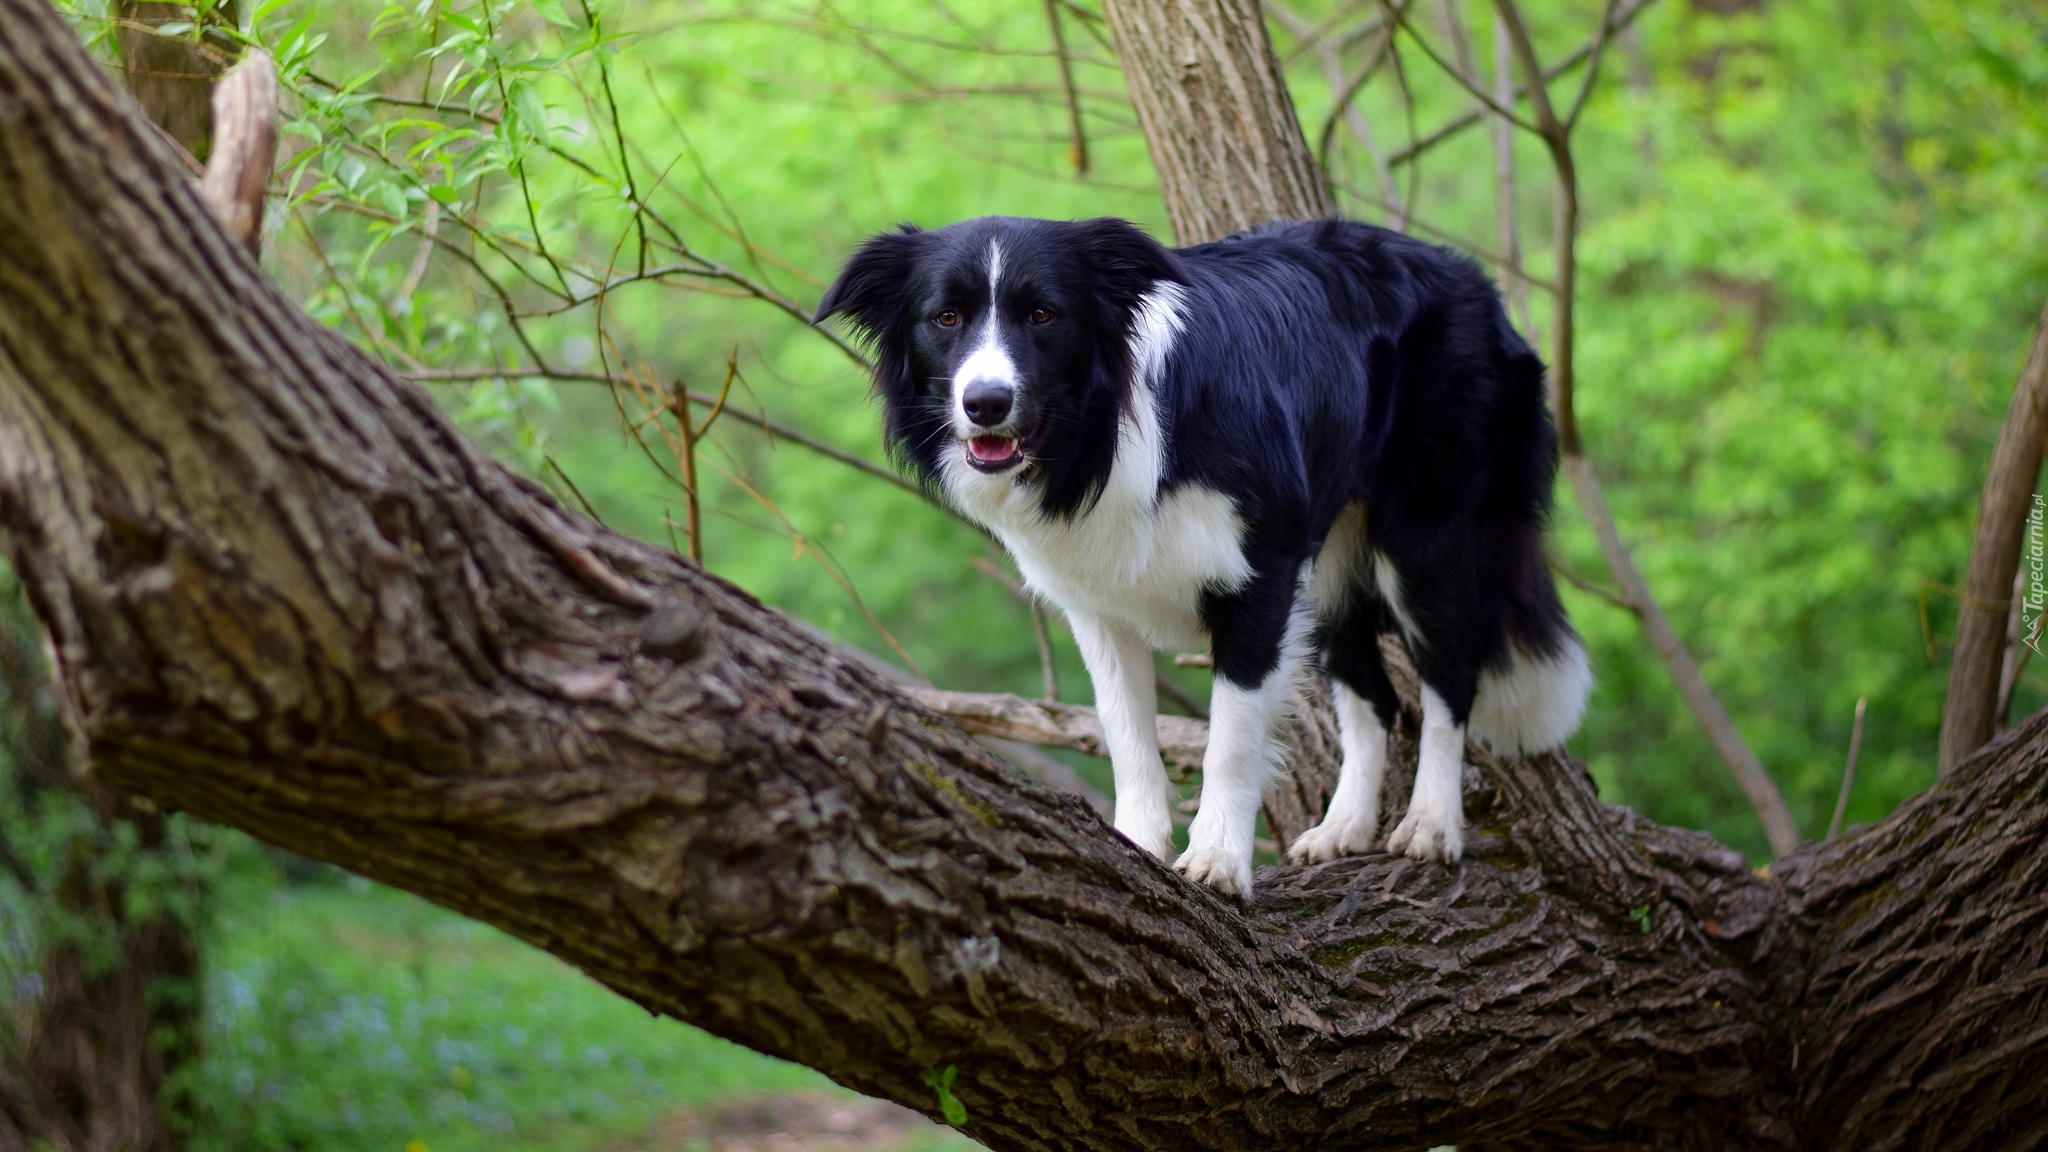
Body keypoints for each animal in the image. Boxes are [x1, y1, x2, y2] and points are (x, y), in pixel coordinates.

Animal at [823, 217, 1589, 897]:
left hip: (1425, 534)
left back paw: (1430, 825)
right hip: (1329, 562)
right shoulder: (1099, 606)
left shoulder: (1260, 577)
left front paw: (1218, 862)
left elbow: (1231, 737)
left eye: (1042, 314)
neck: (1099, 433)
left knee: (1448, 677)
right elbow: (1126, 733)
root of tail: (1472, 280)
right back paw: (1343, 828)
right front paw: (1136, 847)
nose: (986, 403)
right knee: (1373, 693)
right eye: (945, 318)